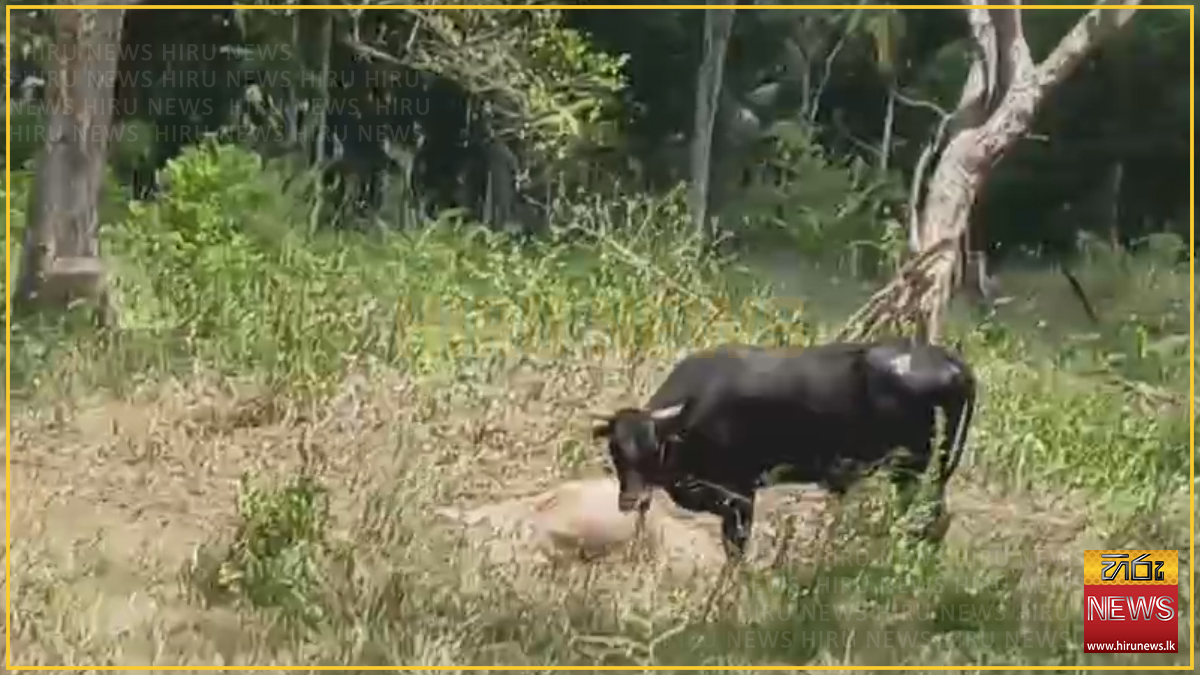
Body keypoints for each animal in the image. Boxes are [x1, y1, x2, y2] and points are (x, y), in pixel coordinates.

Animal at [589, 339, 977, 560]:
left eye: (650, 447)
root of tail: (944, 359)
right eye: (615, 451)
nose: (632, 500)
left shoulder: (740, 492)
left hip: (912, 462)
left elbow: (736, 546)